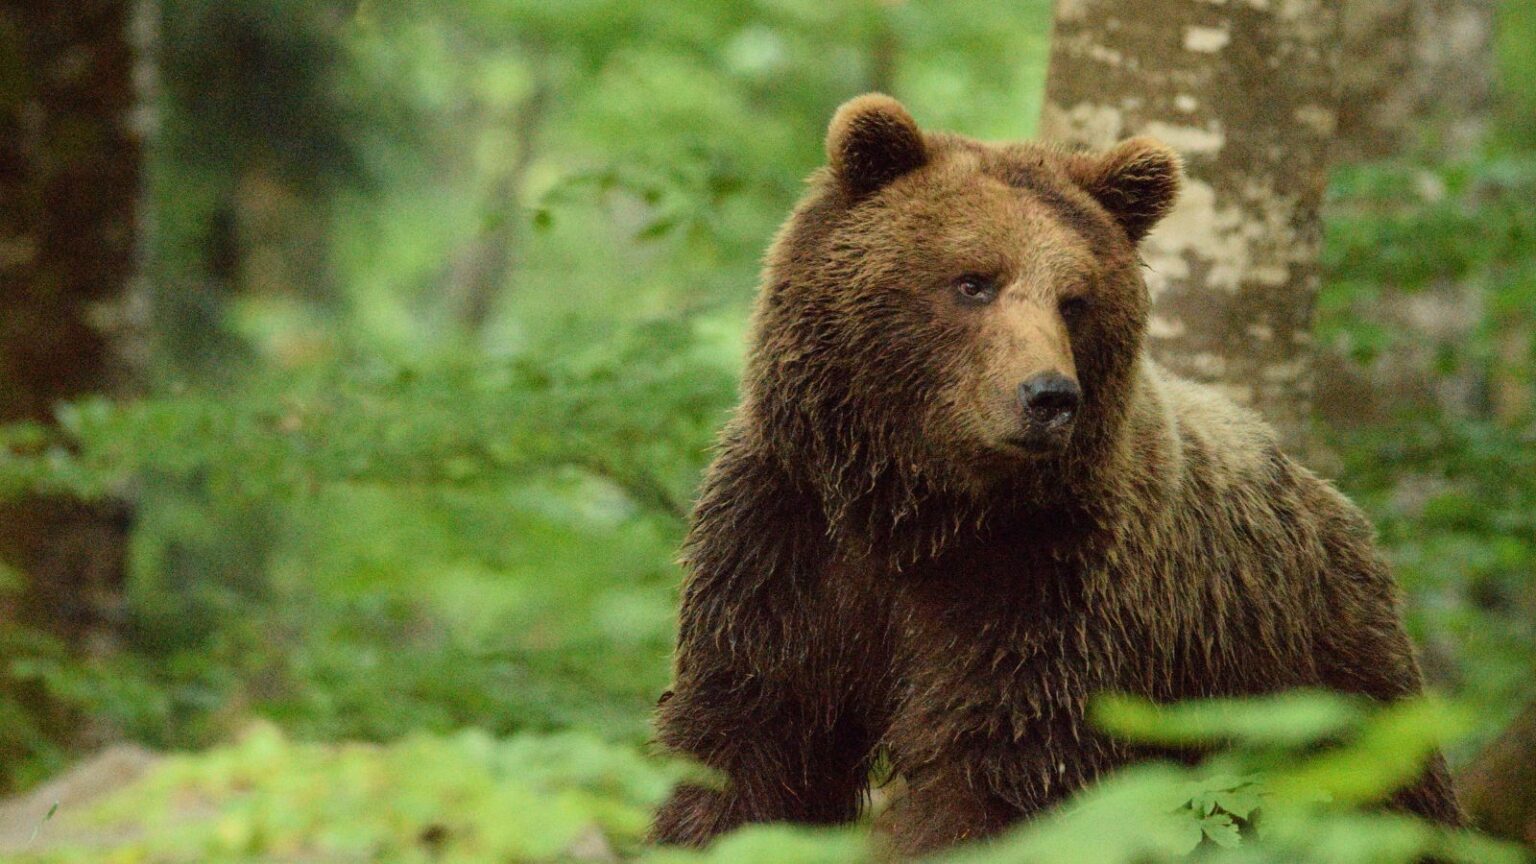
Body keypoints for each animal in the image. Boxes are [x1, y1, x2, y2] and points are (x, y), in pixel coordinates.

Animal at [649, 94, 1464, 855]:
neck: (914, 509)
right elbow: (746, 746)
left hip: (1317, 679)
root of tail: (1337, 506)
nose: (1049, 396)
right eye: (973, 280)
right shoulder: (783, 546)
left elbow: (998, 773)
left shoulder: (1049, 586)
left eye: (1075, 300)